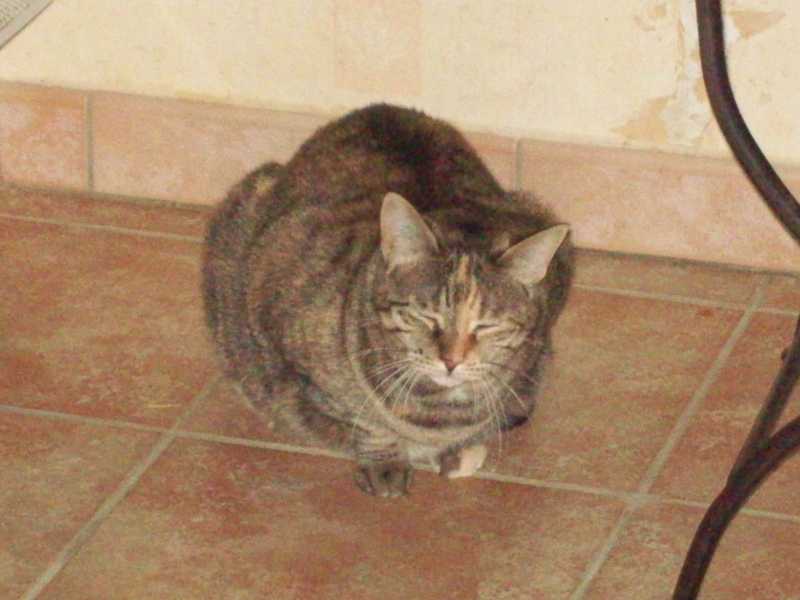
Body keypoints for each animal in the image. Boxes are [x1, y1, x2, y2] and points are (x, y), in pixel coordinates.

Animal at [202, 104, 573, 497]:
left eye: (486, 326)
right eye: (426, 317)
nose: (451, 361)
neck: (438, 412)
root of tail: (378, 108)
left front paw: (459, 448)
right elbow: (363, 417)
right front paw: (387, 457)